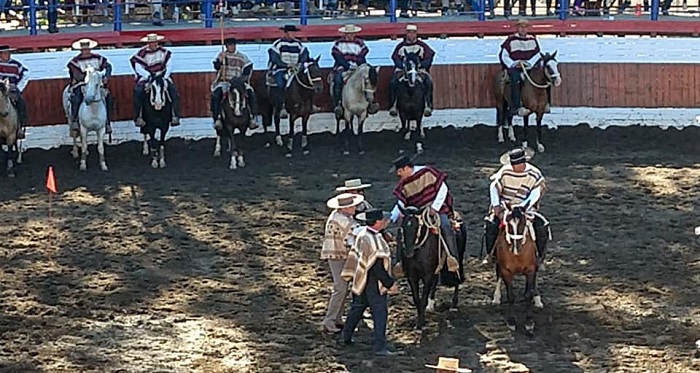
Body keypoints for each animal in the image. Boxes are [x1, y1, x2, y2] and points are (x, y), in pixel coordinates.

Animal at [490, 203, 544, 338]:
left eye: (523, 222)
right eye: (508, 223)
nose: (515, 247)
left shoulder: (530, 270)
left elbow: (528, 294)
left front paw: (529, 323)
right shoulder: (506, 272)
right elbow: (511, 296)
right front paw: (511, 322)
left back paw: (537, 298)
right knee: (498, 274)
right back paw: (496, 298)